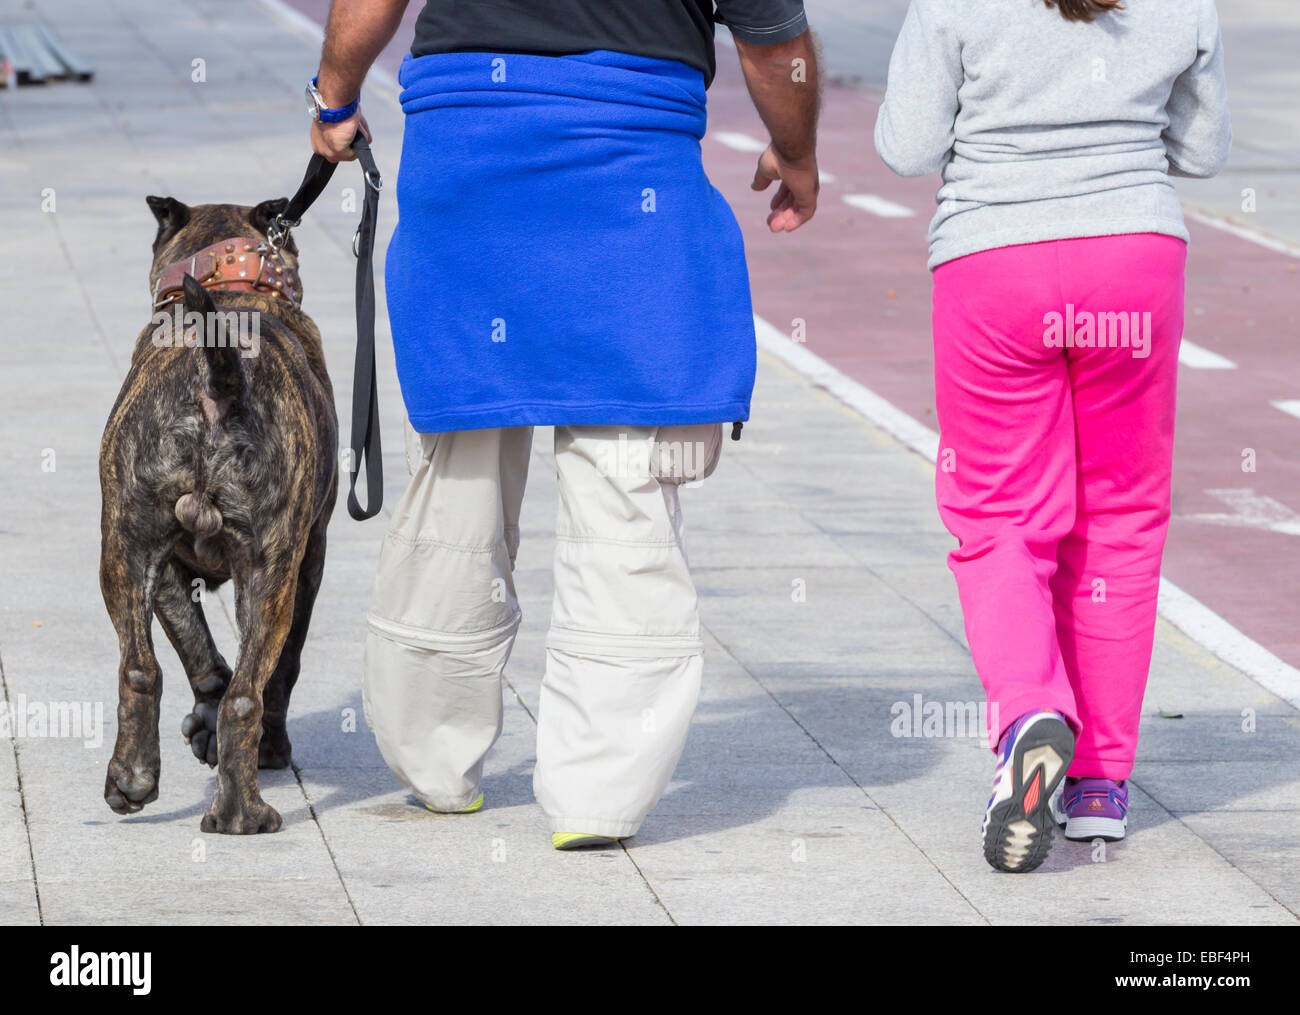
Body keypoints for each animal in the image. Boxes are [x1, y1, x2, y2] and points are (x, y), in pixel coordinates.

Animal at [99, 197, 338, 831]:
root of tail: (216, 378)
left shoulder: (160, 562)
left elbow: (194, 647)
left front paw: (202, 726)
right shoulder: (308, 560)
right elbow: (277, 665)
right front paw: (260, 745)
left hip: (125, 550)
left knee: (141, 669)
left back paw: (133, 779)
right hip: (270, 574)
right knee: (251, 692)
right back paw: (242, 811)